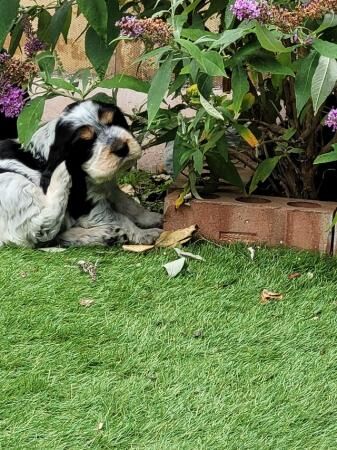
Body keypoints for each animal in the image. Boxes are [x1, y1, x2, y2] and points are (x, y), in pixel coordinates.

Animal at [0, 100, 161, 248]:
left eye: (115, 121)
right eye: (86, 142)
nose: (121, 148)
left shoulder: (108, 187)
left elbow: (128, 203)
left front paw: (152, 217)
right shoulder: (84, 202)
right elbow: (121, 218)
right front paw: (144, 233)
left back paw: (105, 235)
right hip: (14, 184)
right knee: (40, 230)